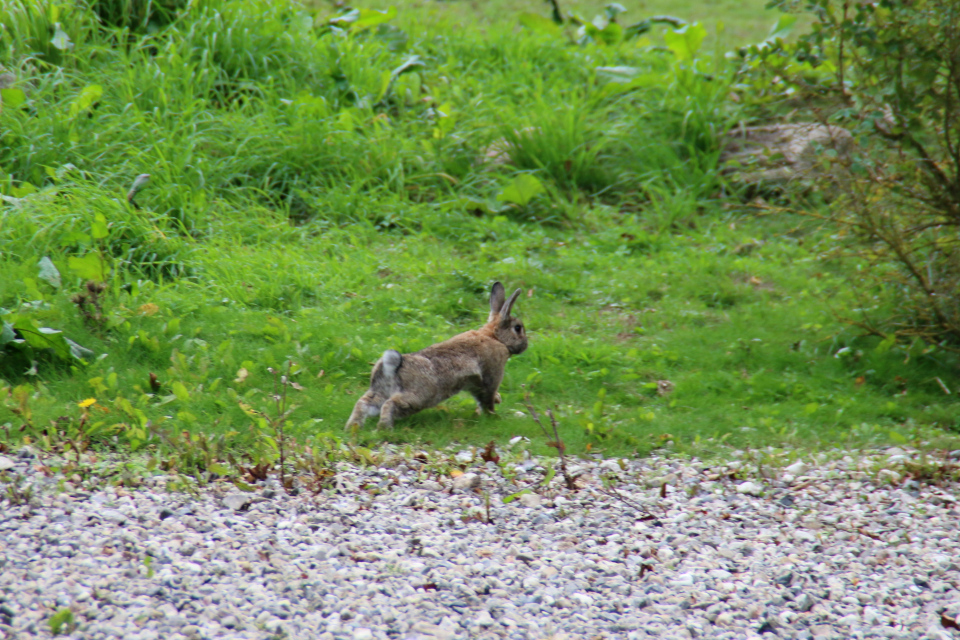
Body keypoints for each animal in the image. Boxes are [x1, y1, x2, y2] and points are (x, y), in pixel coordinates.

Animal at [344, 282, 524, 428]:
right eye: (518, 328)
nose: (525, 345)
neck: (495, 337)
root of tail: (392, 366)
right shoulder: (490, 376)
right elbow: (487, 399)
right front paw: (494, 416)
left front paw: (497, 402)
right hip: (418, 397)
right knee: (390, 404)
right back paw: (384, 428)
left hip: (380, 391)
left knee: (364, 404)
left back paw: (353, 426)